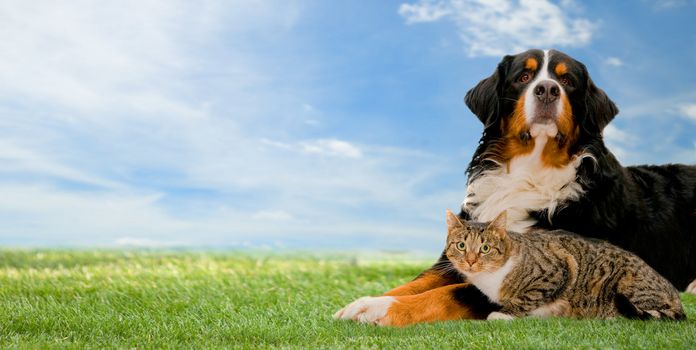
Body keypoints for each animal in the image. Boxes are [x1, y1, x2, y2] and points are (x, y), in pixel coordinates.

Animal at [446, 209, 684, 322]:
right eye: (461, 246)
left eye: (485, 248)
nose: (470, 261)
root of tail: (675, 296)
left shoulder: (557, 268)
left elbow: (528, 297)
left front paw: (504, 314)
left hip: (629, 283)